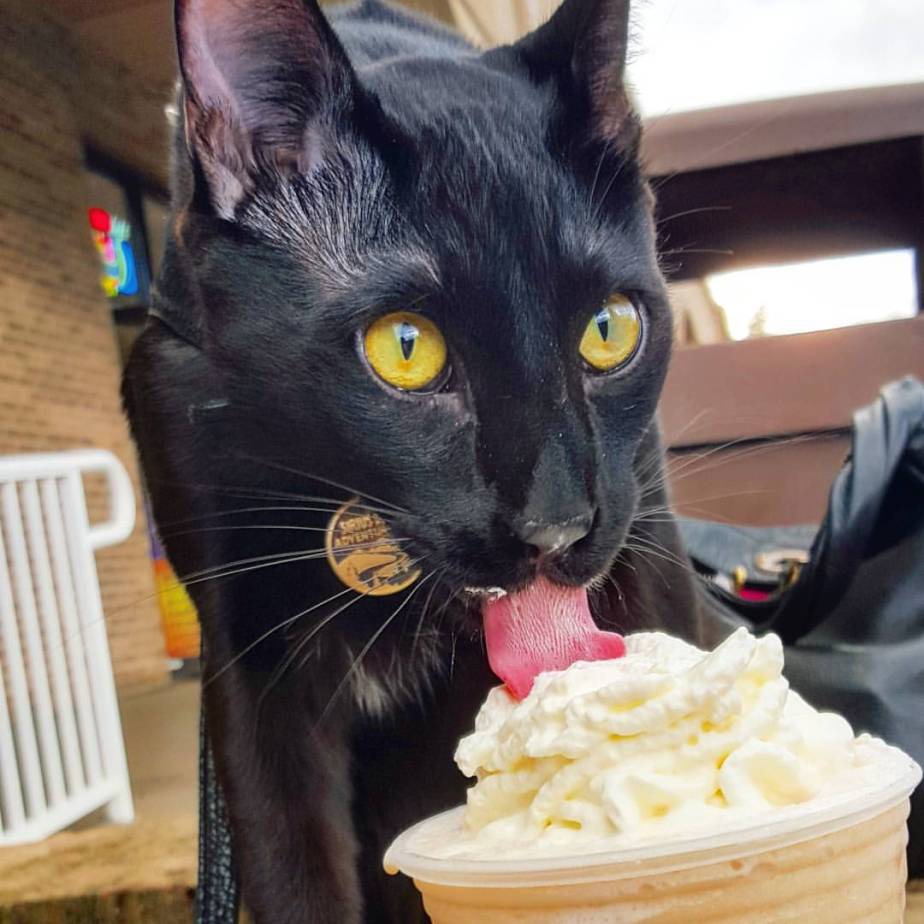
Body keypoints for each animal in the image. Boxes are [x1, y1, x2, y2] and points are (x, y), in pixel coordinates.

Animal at [123, 0, 729, 921]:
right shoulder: (246, 659)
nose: (558, 524)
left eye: (610, 328)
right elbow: (293, 871)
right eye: (404, 347)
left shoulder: (647, 536)